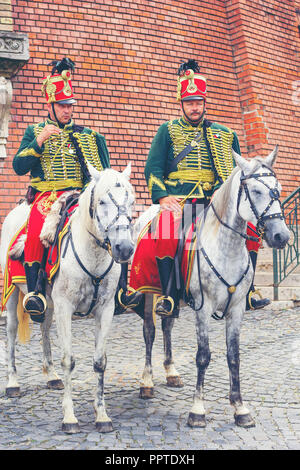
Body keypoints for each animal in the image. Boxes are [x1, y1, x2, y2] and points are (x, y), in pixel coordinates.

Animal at [0, 164, 135, 434]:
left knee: (44, 328)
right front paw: (69, 417)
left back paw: (52, 377)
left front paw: (101, 415)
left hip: (48, 302)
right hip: (12, 293)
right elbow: (69, 360)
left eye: (132, 202)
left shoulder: (105, 309)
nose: (124, 248)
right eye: (102, 201)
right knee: (10, 332)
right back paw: (13, 383)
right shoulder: (65, 308)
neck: (92, 255)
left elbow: (99, 361)